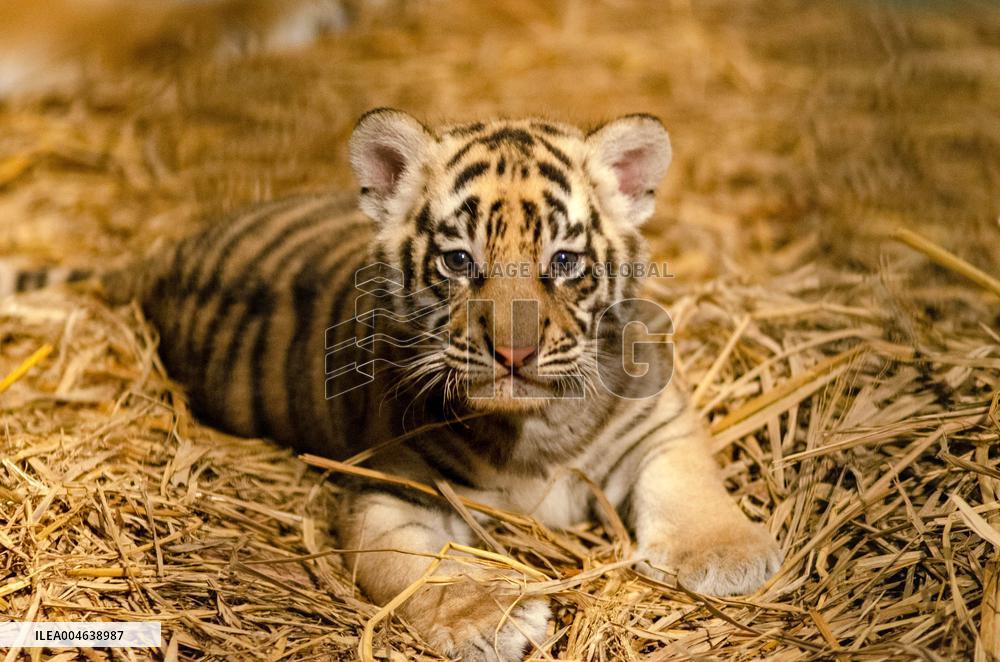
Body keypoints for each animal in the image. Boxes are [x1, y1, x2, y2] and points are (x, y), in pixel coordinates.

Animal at [3, 109, 782, 661]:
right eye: (458, 261)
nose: (514, 351)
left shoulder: (659, 421)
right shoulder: (389, 493)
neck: (533, 428)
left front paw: (728, 556)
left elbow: (687, 479)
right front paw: (489, 616)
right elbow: (426, 566)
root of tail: (164, 256)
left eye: (563, 261)